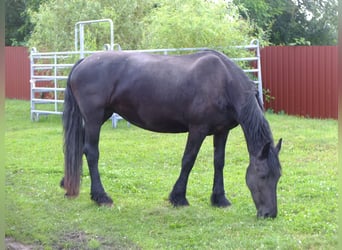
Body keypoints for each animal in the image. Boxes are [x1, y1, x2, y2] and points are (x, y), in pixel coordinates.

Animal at [60, 50, 282, 219]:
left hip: (99, 116)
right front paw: (179, 197)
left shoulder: (221, 131)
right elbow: (188, 160)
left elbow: (219, 162)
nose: (269, 214)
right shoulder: (197, 129)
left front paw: (219, 199)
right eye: (262, 175)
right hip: (94, 118)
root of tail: (82, 62)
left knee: (77, 148)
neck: (224, 81)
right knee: (91, 152)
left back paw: (67, 184)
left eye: (278, 176)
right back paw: (101, 197)